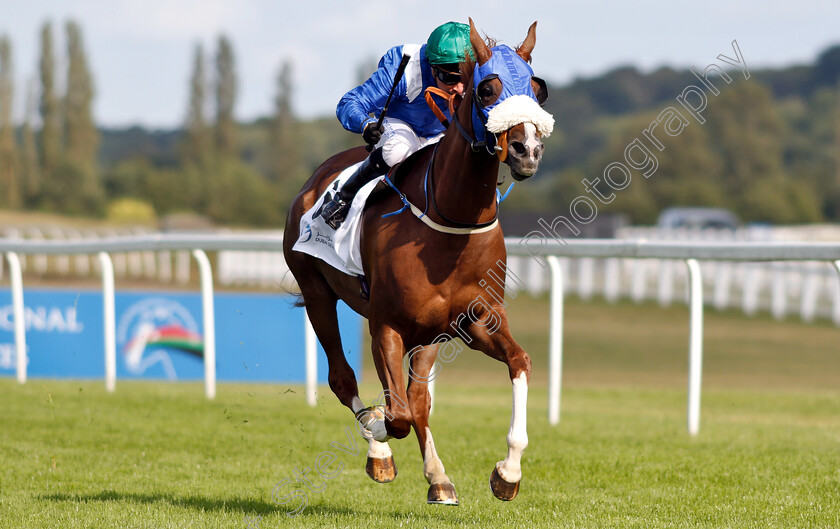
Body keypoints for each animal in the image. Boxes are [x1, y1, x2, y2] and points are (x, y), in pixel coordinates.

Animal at [286, 19, 556, 508]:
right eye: (487, 88)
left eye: (536, 88)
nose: (527, 149)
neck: (451, 220)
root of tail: (315, 179)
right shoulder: (386, 325)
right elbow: (395, 415)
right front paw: (377, 431)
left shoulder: (473, 321)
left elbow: (519, 363)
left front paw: (507, 472)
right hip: (316, 291)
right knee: (344, 379)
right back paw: (379, 451)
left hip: (430, 333)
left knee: (418, 400)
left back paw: (439, 479)